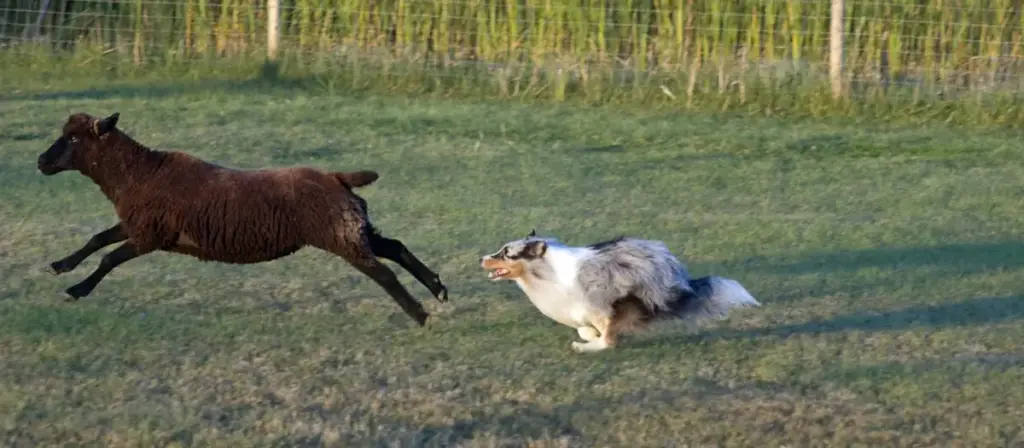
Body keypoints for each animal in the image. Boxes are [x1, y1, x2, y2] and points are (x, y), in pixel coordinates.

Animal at [37, 113, 444, 325]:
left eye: (73, 140)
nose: (40, 162)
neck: (139, 173)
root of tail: (337, 177)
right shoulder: (138, 224)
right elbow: (96, 239)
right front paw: (61, 266)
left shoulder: (149, 234)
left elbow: (108, 257)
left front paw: (78, 289)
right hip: (351, 227)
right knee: (395, 247)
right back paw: (438, 288)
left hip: (339, 234)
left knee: (384, 272)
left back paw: (419, 313)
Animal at [479, 231, 761, 353]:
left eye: (506, 254)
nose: (481, 258)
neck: (546, 271)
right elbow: (585, 327)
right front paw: (588, 335)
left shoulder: (597, 303)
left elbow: (604, 334)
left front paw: (589, 342)